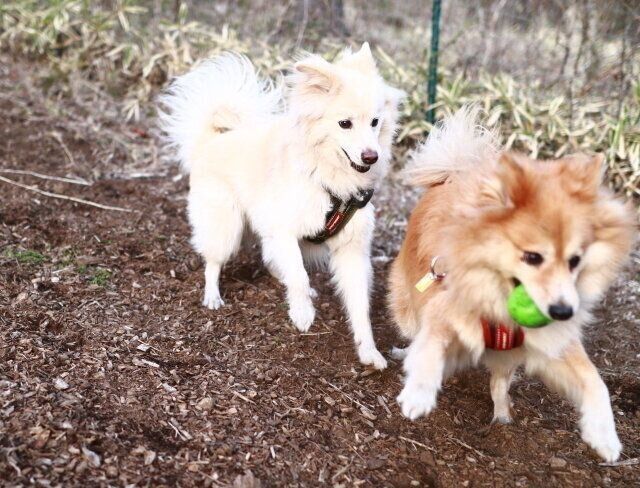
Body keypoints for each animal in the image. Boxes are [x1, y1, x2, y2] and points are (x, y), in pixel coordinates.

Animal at [160, 43, 403, 369]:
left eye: (375, 122)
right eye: (345, 123)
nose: (371, 156)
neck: (329, 178)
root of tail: (211, 141)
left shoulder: (351, 251)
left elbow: (359, 306)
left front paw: (369, 351)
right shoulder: (284, 230)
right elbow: (299, 275)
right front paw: (302, 313)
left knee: (271, 258)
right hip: (227, 227)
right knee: (215, 261)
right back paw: (213, 295)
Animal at [388, 107, 636, 461]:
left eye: (575, 260)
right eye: (532, 257)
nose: (563, 310)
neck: (499, 301)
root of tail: (456, 170)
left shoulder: (553, 340)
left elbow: (594, 380)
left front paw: (604, 435)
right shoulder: (444, 306)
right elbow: (431, 343)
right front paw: (419, 391)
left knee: (499, 382)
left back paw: (502, 417)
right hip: (409, 307)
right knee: (415, 332)